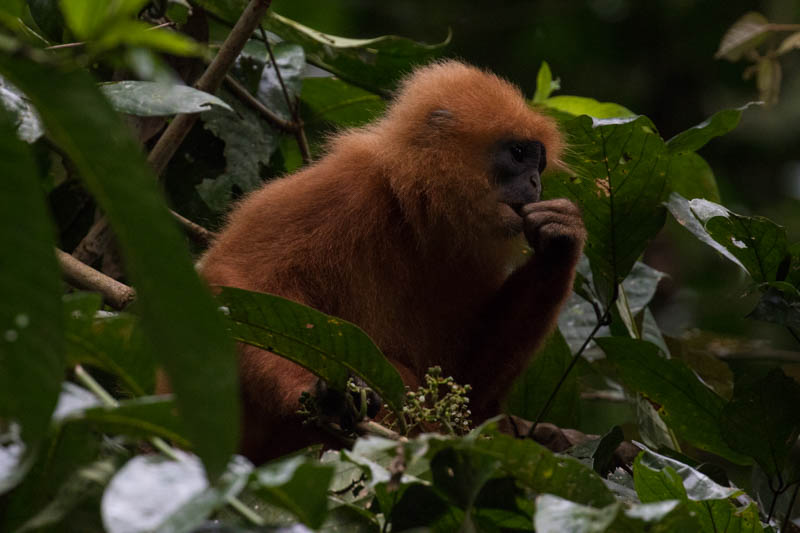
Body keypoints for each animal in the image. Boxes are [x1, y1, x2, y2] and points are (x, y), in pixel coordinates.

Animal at [199, 59, 584, 462]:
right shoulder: (342, 185)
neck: (412, 209)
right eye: (519, 154)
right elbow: (235, 281)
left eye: (539, 164)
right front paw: (328, 396)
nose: (536, 183)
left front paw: (561, 238)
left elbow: (467, 389)